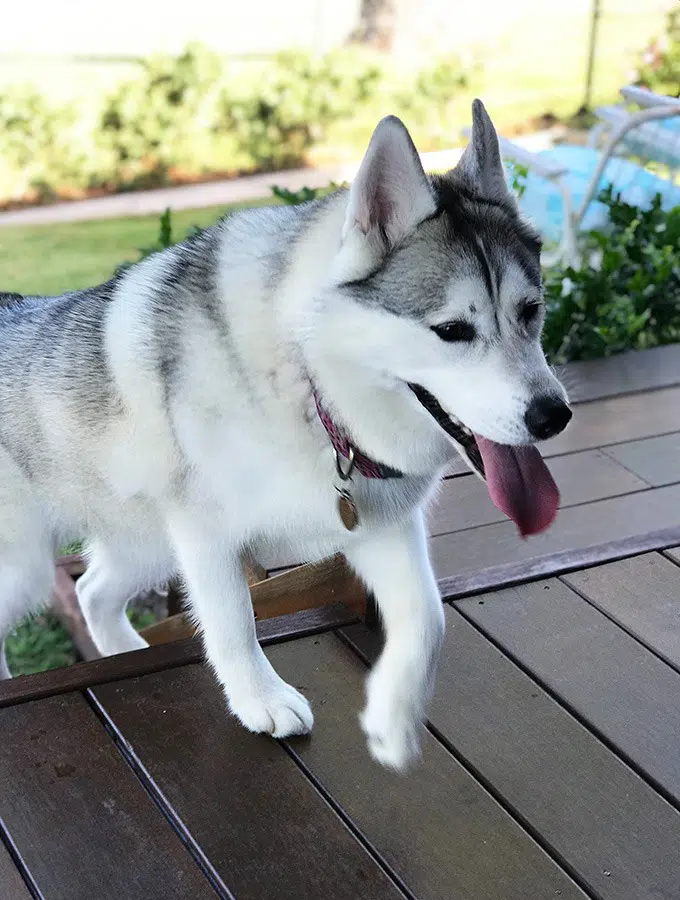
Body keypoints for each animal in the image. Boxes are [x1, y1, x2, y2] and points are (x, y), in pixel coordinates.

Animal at [0, 102, 568, 768]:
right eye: (452, 330)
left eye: (531, 311)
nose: (553, 416)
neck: (308, 386)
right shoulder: (205, 534)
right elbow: (233, 622)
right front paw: (261, 700)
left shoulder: (381, 526)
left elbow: (429, 621)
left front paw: (393, 721)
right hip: (29, 566)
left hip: (144, 543)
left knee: (91, 592)